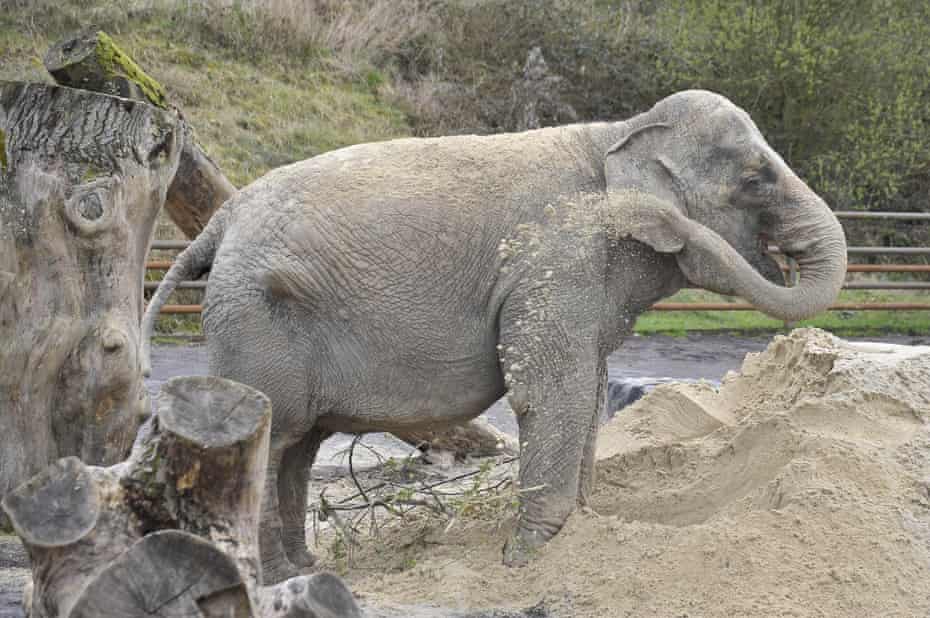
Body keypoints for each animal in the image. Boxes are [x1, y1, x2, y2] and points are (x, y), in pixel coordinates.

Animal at [141, 89, 844, 580]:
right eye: (755, 180)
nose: (669, 224)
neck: (620, 133)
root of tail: (224, 218)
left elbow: (589, 388)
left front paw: (577, 539)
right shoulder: (555, 261)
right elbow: (551, 392)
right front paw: (528, 559)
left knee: (301, 444)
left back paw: (306, 570)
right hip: (257, 320)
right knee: (279, 432)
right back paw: (277, 578)